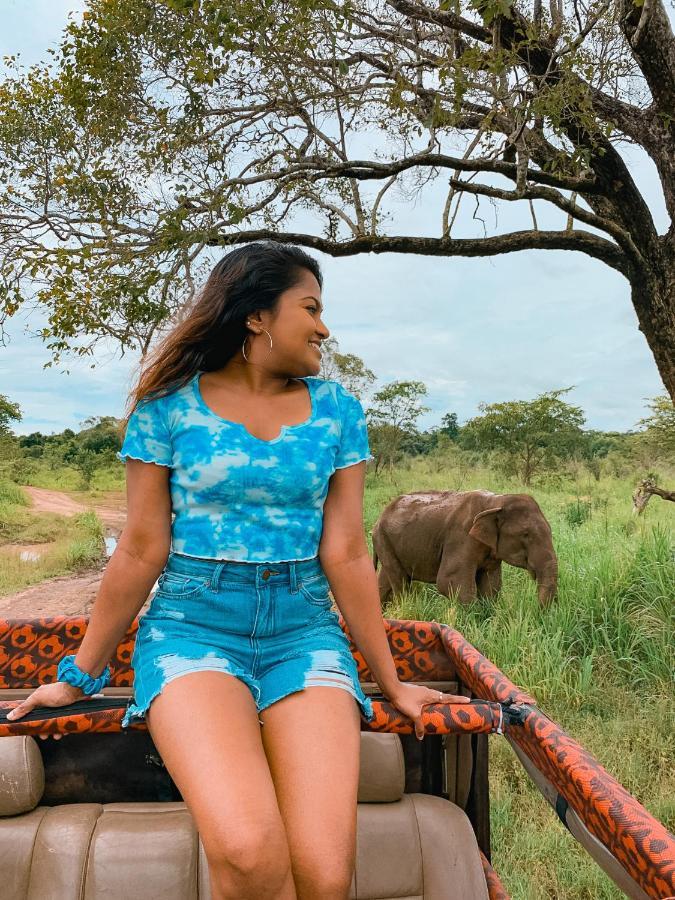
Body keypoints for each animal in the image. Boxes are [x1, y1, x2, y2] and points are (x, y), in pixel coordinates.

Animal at [372, 488, 556, 608]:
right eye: (525, 534)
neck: (496, 501)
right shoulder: (460, 537)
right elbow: (449, 581)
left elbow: (491, 585)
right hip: (383, 539)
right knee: (400, 581)